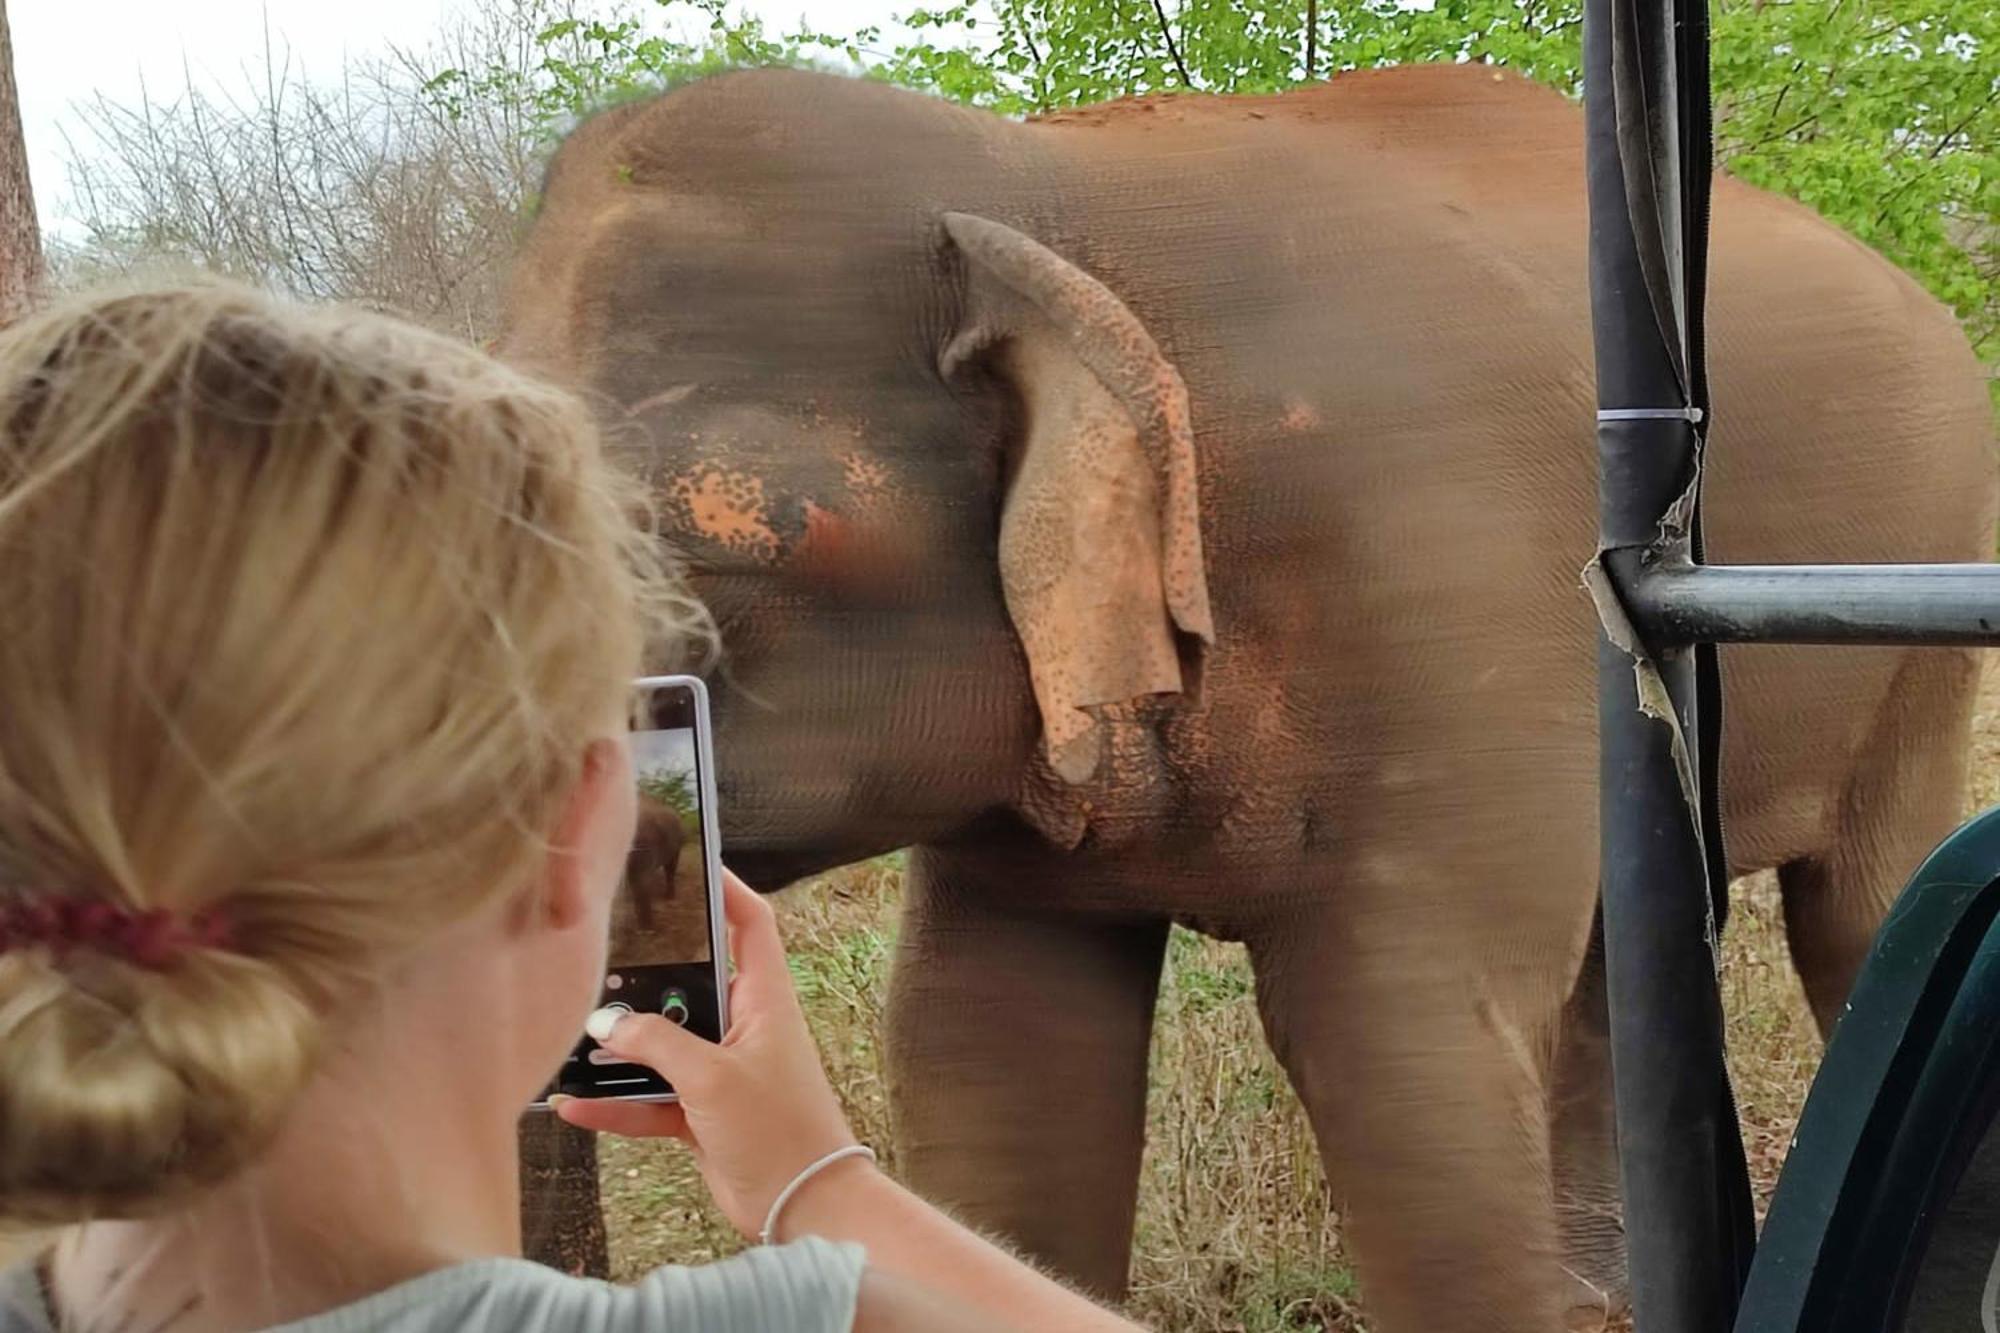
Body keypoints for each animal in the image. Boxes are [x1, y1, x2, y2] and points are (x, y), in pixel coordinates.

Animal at [496, 65, 1984, 1328]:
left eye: (697, 572)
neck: (1038, 194)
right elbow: (990, 1044)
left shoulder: (1450, 581)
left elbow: (1400, 1055)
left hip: (1919, 621)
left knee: (1858, 907)